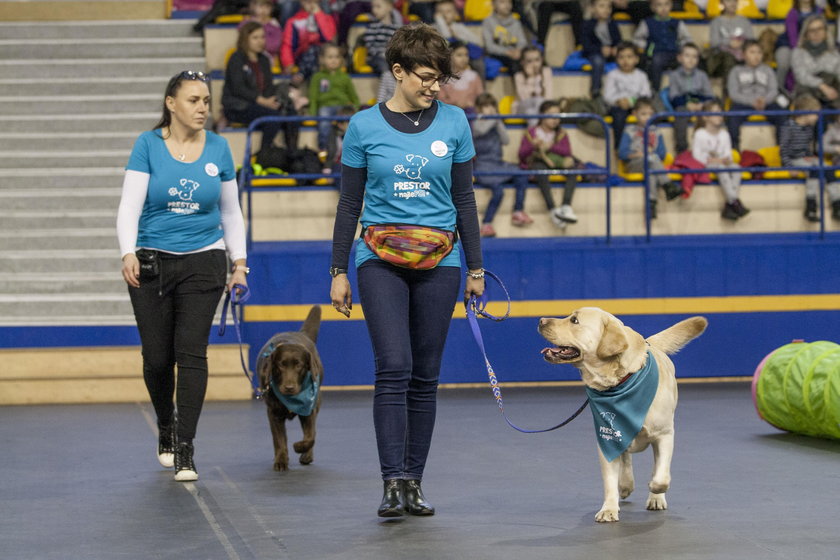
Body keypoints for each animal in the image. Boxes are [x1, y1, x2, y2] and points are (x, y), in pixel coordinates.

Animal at [254, 304, 324, 470]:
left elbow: (310, 436)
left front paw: (300, 448)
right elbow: (279, 439)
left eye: (299, 365)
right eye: (280, 365)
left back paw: (306, 455)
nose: (289, 387)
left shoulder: (309, 408)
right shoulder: (273, 413)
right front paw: (280, 460)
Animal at [536, 308, 704, 524]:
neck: (622, 380)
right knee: (626, 458)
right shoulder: (605, 439)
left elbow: (661, 476)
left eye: (574, 320)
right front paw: (609, 508)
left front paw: (655, 490)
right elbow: (609, 480)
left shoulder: (665, 435)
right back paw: (625, 485)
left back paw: (655, 497)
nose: (540, 320)